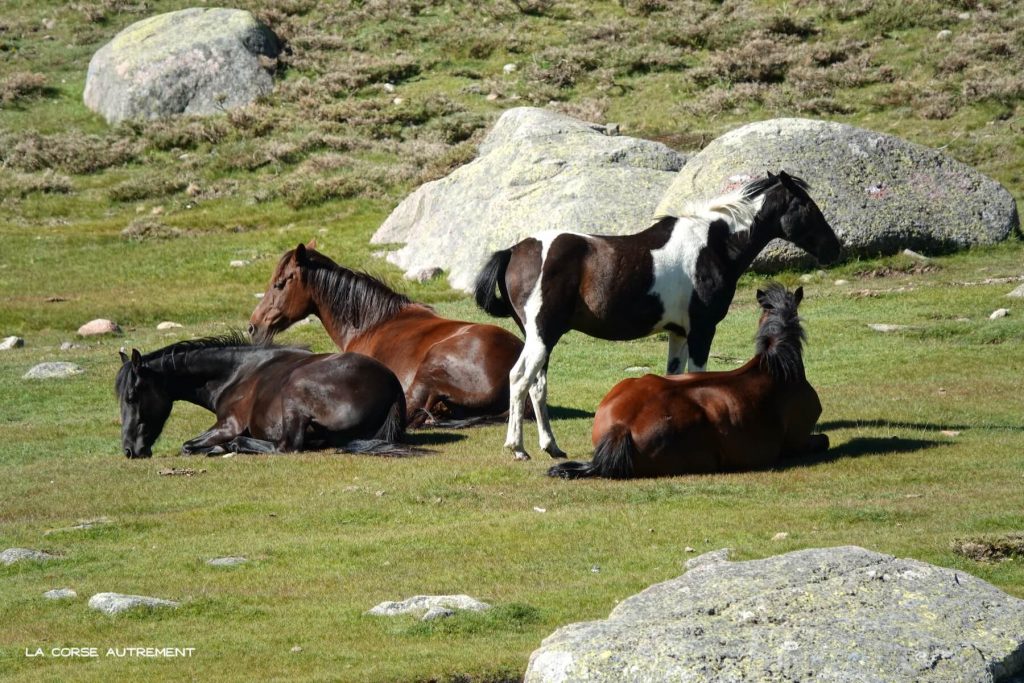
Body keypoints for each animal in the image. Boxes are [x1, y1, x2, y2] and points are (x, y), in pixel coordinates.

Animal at [116, 331, 407, 458]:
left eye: (132, 396)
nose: (130, 450)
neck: (237, 373)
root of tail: (391, 385)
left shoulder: (228, 425)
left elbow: (187, 445)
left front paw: (219, 447)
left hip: (295, 391)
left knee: (286, 447)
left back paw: (238, 445)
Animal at [471, 169, 839, 458]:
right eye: (806, 206)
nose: (833, 248)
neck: (713, 244)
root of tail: (514, 250)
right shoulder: (702, 331)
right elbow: (699, 376)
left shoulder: (677, 333)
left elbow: (675, 377)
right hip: (542, 335)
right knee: (520, 379)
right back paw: (517, 448)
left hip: (541, 338)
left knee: (537, 386)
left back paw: (552, 447)